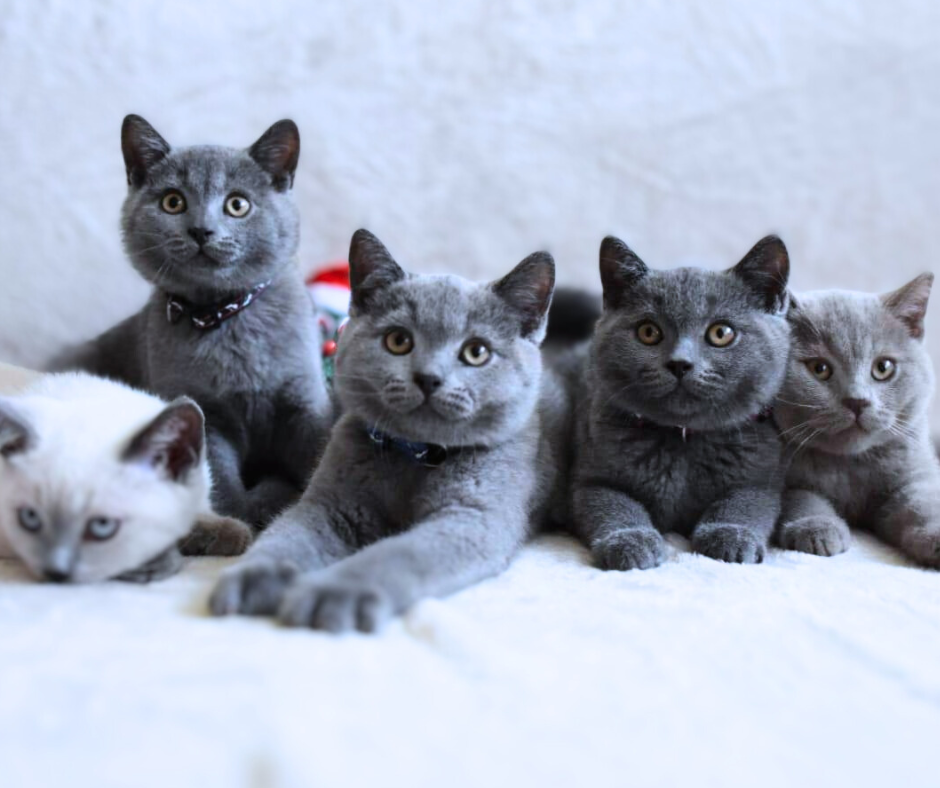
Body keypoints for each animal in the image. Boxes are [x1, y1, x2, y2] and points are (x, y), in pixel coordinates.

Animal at [51, 115, 333, 528]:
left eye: (237, 204)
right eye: (173, 201)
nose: (201, 230)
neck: (223, 315)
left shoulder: (304, 400)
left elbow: (318, 454)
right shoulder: (204, 414)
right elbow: (217, 477)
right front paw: (237, 520)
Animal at [208, 229, 574, 632]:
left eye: (476, 352)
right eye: (398, 341)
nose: (429, 377)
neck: (417, 455)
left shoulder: (472, 517)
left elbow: (395, 554)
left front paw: (332, 594)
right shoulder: (328, 504)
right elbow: (287, 536)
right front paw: (253, 576)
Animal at [571, 235, 791, 569]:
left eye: (721, 333)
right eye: (648, 332)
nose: (680, 364)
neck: (683, 440)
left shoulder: (761, 477)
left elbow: (745, 503)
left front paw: (731, 536)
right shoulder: (589, 479)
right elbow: (612, 504)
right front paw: (630, 542)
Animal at [774, 274, 940, 566]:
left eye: (883, 368)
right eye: (820, 368)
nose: (857, 401)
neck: (849, 464)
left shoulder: (916, 473)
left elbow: (923, 501)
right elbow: (800, 496)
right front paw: (817, 529)